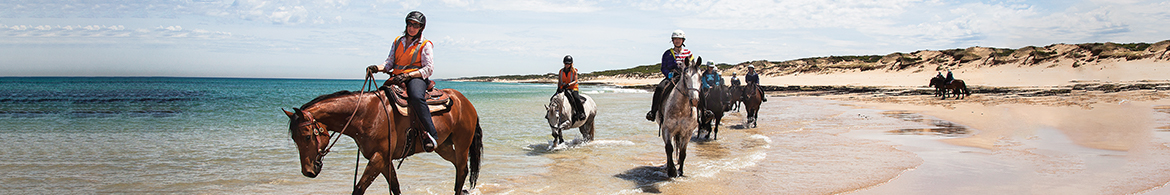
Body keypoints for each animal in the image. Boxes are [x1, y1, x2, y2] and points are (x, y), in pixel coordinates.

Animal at [284, 88, 484, 193]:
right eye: (294, 138)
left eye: (307, 136)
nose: (308, 171)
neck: (365, 114)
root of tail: (465, 102)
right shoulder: (385, 160)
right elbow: (395, 187)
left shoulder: (378, 158)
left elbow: (359, 188)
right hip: (443, 147)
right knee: (460, 167)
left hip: (462, 144)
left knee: (462, 170)